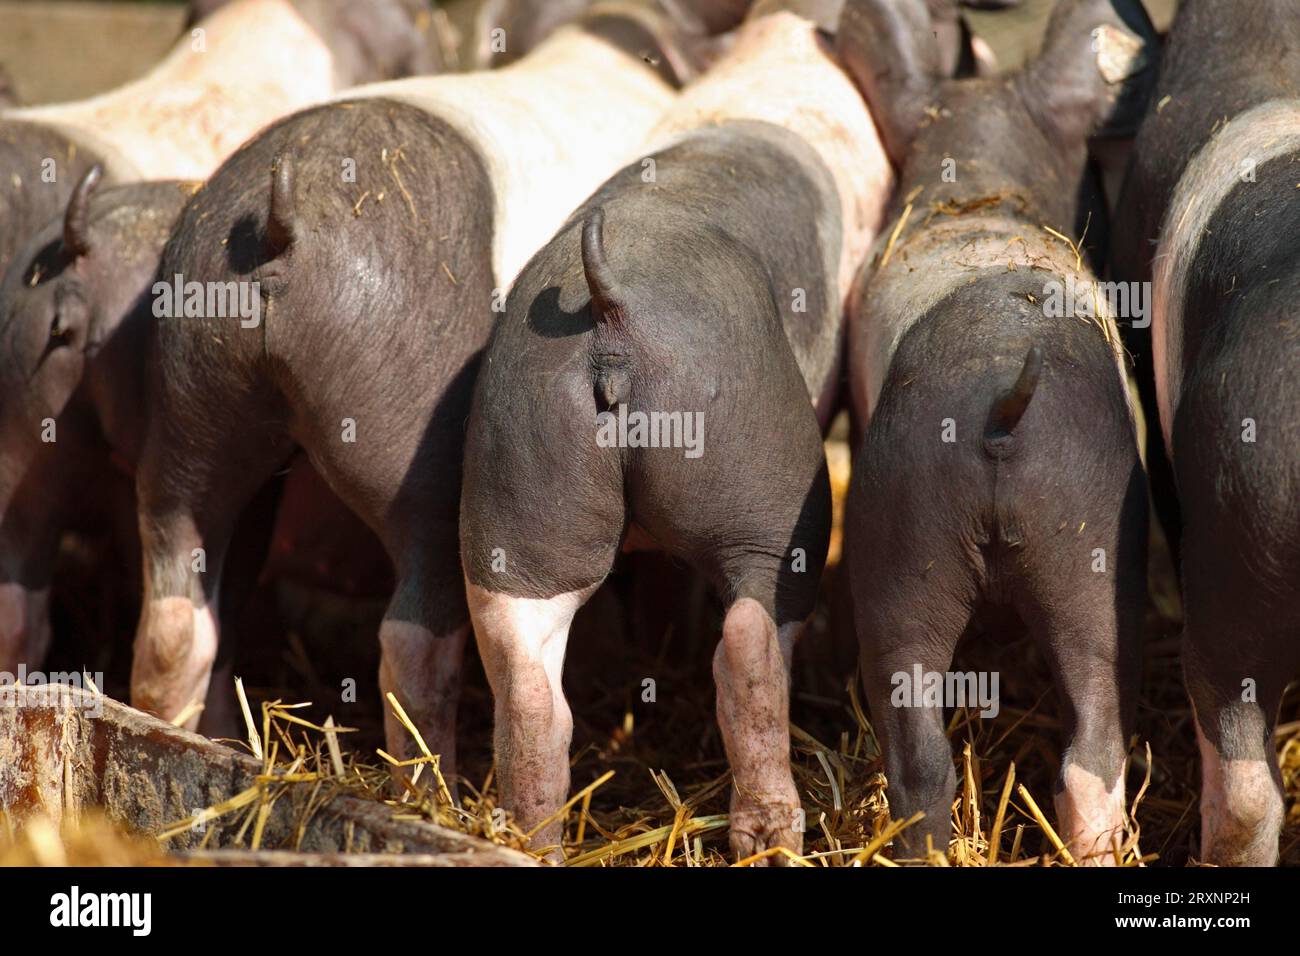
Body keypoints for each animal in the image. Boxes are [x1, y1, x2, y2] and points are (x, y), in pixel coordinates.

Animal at [457, 0, 894, 863]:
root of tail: (613, 307)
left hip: (514, 486)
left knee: (529, 689)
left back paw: (535, 839)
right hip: (763, 483)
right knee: (750, 649)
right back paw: (771, 837)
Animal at [842, 0, 1159, 863]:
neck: (983, 188)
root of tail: (999, 414)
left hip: (931, 527)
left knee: (934, 758)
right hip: (1074, 542)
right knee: (1082, 745)